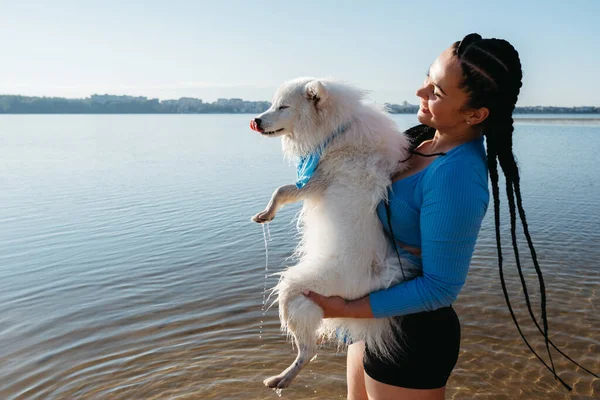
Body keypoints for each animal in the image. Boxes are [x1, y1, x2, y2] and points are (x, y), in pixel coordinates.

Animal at [250, 77, 412, 388]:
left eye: (283, 106)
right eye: (272, 104)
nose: (255, 120)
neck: (337, 131)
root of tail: (372, 280)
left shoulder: (318, 180)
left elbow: (283, 190)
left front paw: (267, 212)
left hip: (293, 290)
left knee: (308, 350)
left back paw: (283, 378)